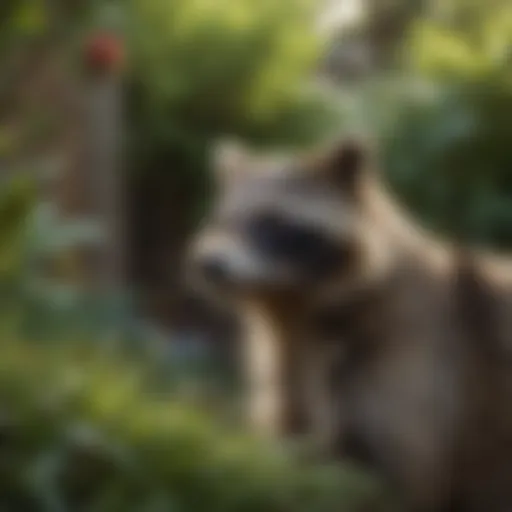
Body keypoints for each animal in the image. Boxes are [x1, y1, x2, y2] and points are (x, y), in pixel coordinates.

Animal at [190, 138, 512, 510]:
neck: (291, 307)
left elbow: (405, 478)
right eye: (222, 220)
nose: (209, 264)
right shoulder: (292, 386)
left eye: (272, 223)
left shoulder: (421, 363)